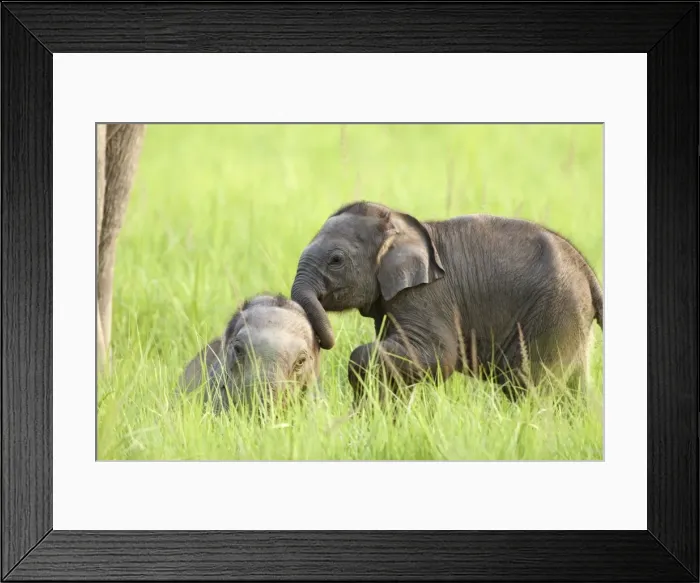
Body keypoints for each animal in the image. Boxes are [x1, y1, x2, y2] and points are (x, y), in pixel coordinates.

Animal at [290, 200, 603, 403]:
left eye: (336, 260)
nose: (321, 341)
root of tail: (588, 272)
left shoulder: (426, 295)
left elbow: (439, 357)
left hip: (555, 312)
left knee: (528, 384)